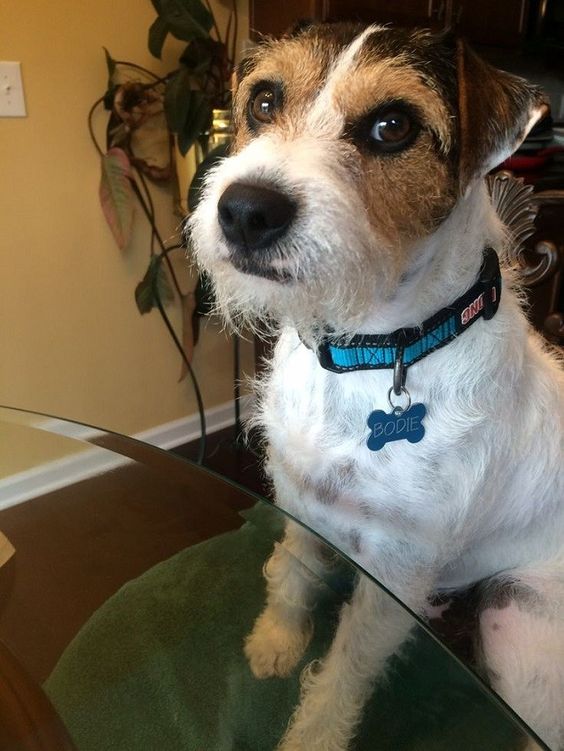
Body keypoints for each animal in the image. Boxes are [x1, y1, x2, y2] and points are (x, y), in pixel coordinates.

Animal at [189, 23, 564, 751]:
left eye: (392, 126)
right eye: (265, 101)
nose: (244, 211)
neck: (367, 354)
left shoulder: (396, 569)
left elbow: (347, 666)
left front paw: (310, 735)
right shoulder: (300, 498)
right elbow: (294, 570)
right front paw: (276, 641)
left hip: (517, 627)